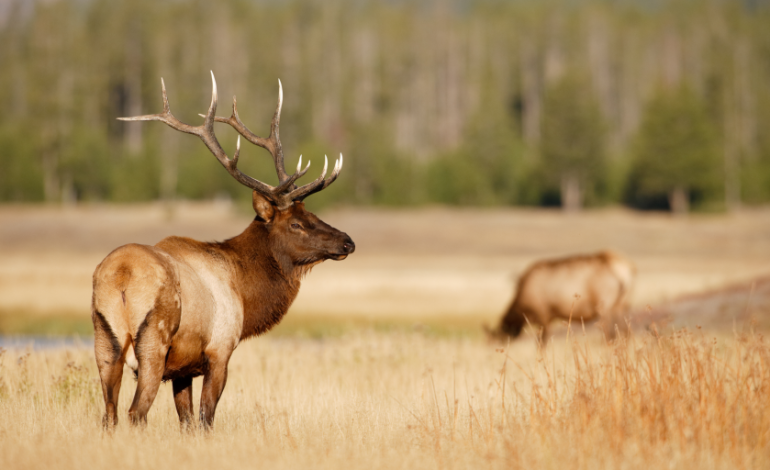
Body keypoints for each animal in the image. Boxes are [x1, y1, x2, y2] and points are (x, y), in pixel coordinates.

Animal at [91, 72, 355, 430]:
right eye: (297, 223)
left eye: (313, 214)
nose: (347, 241)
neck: (243, 289)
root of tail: (121, 276)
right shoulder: (219, 350)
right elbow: (206, 418)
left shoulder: (182, 368)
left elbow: (187, 421)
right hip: (153, 342)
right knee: (136, 413)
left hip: (104, 341)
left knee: (109, 415)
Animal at [486, 251, 635, 347]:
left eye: (498, 338)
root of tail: (625, 272)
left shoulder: (543, 315)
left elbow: (541, 343)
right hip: (623, 304)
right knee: (624, 331)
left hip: (604, 306)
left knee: (609, 332)